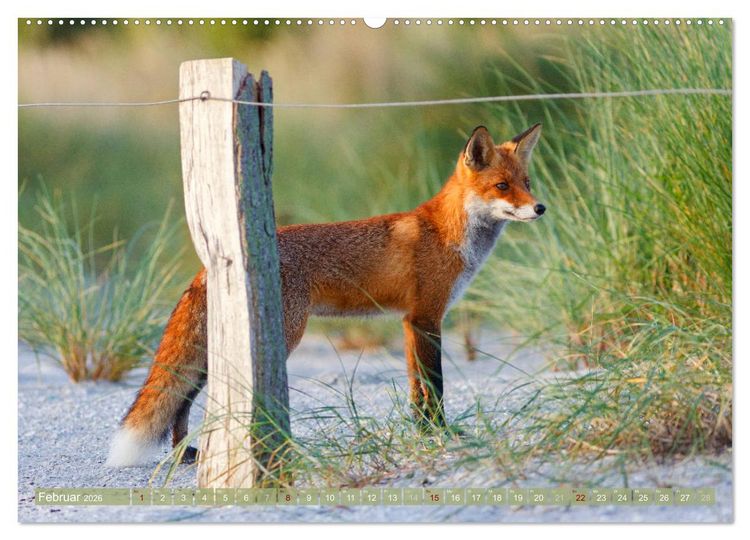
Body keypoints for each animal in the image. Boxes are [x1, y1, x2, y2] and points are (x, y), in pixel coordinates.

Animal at [106, 123, 546, 467]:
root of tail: (210, 263)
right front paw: (441, 432)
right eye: (502, 186)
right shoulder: (427, 317)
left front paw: (422, 432)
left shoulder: (410, 321)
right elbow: (434, 386)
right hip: (282, 334)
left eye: (526, 184)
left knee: (181, 400)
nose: (540, 208)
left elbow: (415, 390)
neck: (448, 233)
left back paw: (185, 453)